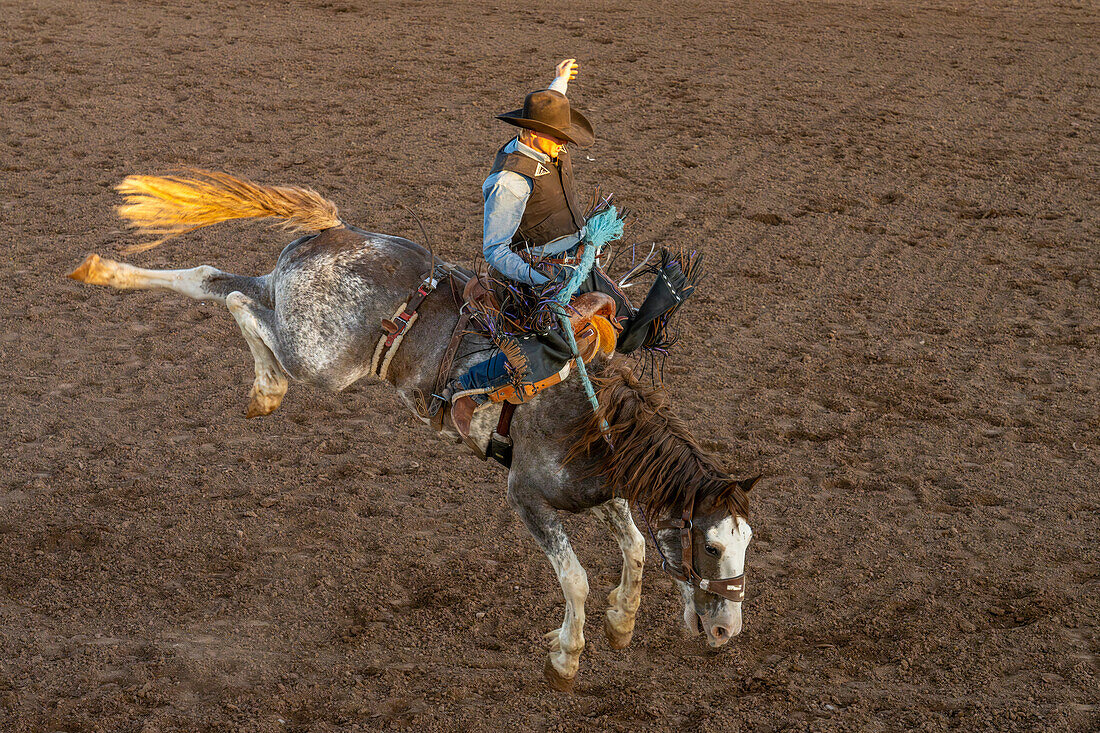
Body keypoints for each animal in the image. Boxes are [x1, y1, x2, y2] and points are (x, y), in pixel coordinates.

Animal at [66, 168, 756, 686]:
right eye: (711, 545)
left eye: (746, 544)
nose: (728, 632)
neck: (590, 417)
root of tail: (333, 232)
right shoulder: (527, 497)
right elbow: (576, 578)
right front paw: (566, 658)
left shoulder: (600, 490)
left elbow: (635, 549)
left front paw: (621, 623)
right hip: (320, 360)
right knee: (240, 305)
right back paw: (265, 389)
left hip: (291, 303)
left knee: (215, 279)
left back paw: (102, 270)